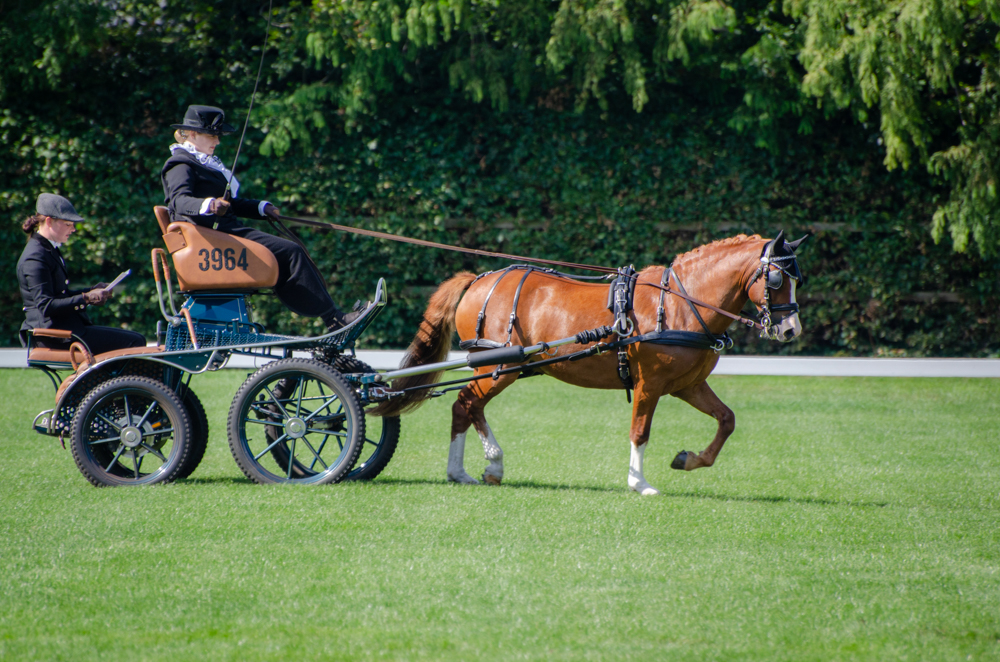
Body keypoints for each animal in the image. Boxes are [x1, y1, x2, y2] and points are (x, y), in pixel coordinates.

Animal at [372, 232, 807, 495]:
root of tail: (480, 279)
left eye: (797, 279)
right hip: (492, 367)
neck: (681, 303)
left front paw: (689, 460)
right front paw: (639, 482)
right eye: (775, 280)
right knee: (465, 403)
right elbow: (640, 431)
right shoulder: (650, 385)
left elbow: (727, 419)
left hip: (498, 369)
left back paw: (478, 469)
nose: (790, 329)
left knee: (468, 405)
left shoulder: (687, 384)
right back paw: (474, 467)